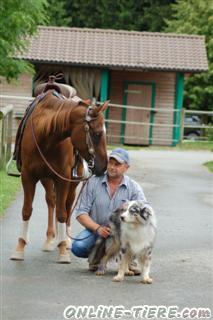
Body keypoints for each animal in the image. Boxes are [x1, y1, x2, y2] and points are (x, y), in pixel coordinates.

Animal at [10, 89, 109, 262]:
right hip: (46, 178)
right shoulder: (28, 176)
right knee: (51, 201)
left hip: (72, 183)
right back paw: (50, 239)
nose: (104, 166)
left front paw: (63, 249)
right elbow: (27, 210)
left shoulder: (62, 178)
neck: (45, 135)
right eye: (97, 134)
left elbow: (62, 213)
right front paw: (20, 247)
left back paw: (66, 239)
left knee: (67, 205)